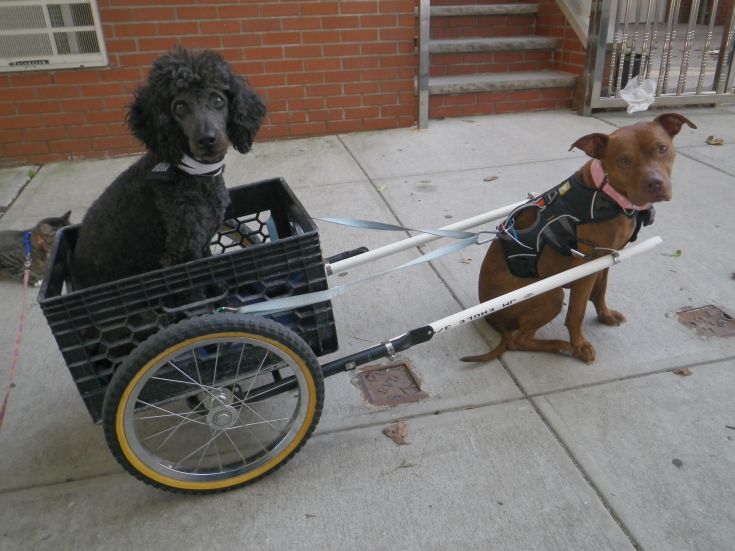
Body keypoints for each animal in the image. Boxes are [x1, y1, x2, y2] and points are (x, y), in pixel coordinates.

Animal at [460, 113, 696, 364]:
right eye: (624, 161)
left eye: (662, 148)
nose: (655, 183)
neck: (608, 195)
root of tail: (490, 316)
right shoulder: (585, 267)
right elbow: (577, 311)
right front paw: (580, 345)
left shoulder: (605, 259)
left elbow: (600, 290)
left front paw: (605, 315)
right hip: (551, 294)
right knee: (518, 340)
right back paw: (560, 345)